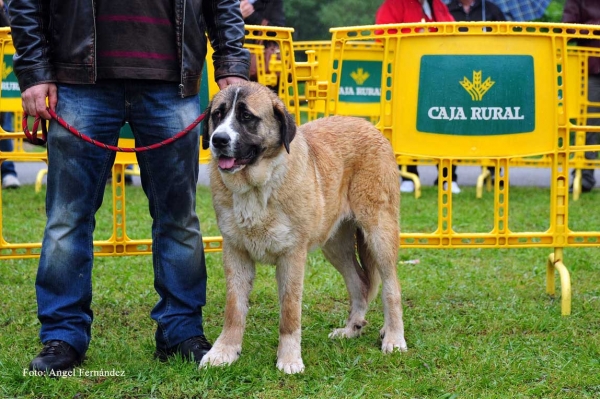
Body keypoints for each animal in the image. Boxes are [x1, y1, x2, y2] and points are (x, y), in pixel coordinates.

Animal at [202, 82, 408, 376]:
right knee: (359, 282)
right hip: (335, 245)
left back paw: (394, 338)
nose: (218, 140)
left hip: (379, 232)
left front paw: (289, 359)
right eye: (218, 115)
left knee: (391, 287)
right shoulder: (235, 252)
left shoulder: (292, 256)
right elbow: (233, 309)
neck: (257, 187)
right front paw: (224, 352)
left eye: (246, 117)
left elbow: (289, 313)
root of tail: (368, 125)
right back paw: (351, 329)